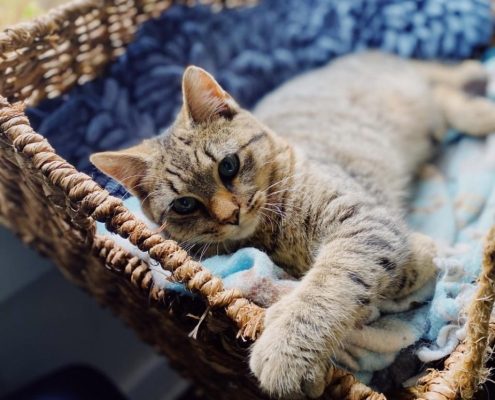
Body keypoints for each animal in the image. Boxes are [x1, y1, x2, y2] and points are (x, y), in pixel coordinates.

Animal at [91, 52, 495, 396]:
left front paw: (285, 351)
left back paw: (477, 104)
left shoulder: (365, 222)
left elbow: (325, 288)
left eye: (228, 166)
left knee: (438, 85)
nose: (230, 214)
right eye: (185, 204)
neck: (272, 230)